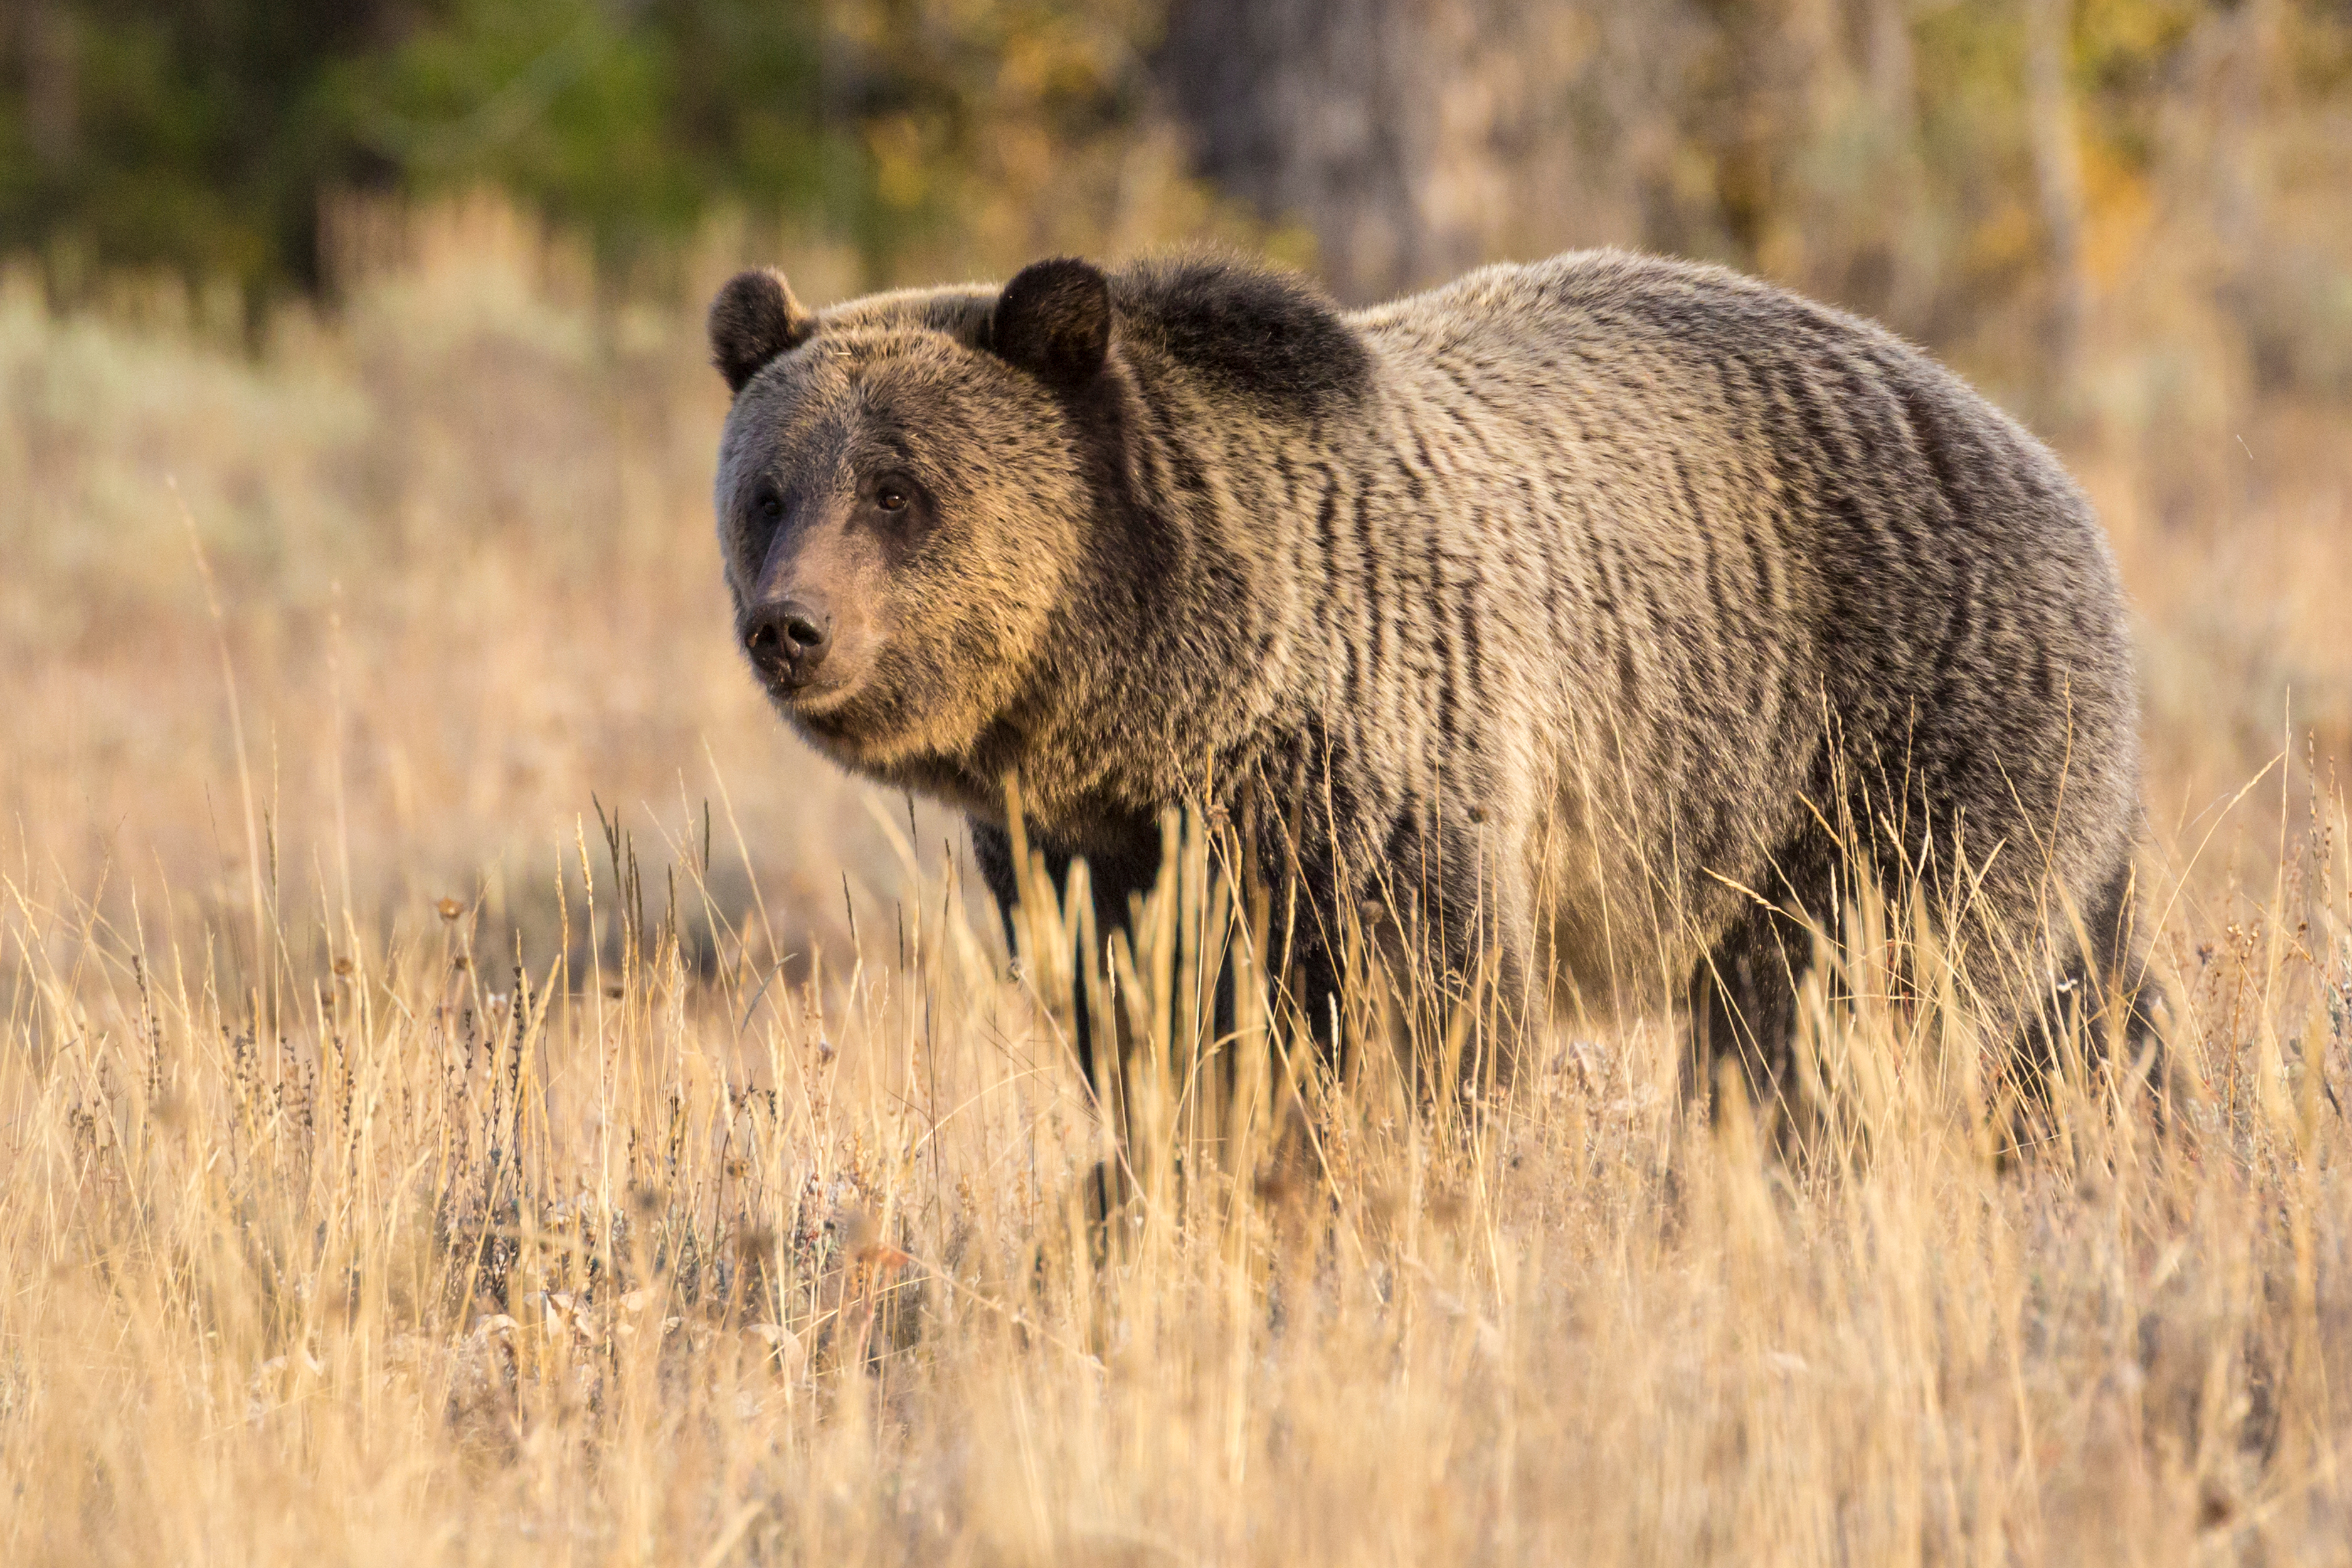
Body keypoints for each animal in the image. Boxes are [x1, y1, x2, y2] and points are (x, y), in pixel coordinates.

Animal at [705, 247, 2158, 1113]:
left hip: (1892, 724)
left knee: (1841, 1000)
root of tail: (2031, 450)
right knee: (2082, 1013)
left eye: (898, 491)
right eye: (768, 493)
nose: (792, 627)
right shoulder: (1094, 854)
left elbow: (1423, 1017)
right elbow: (1152, 1028)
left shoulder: (1383, 753)